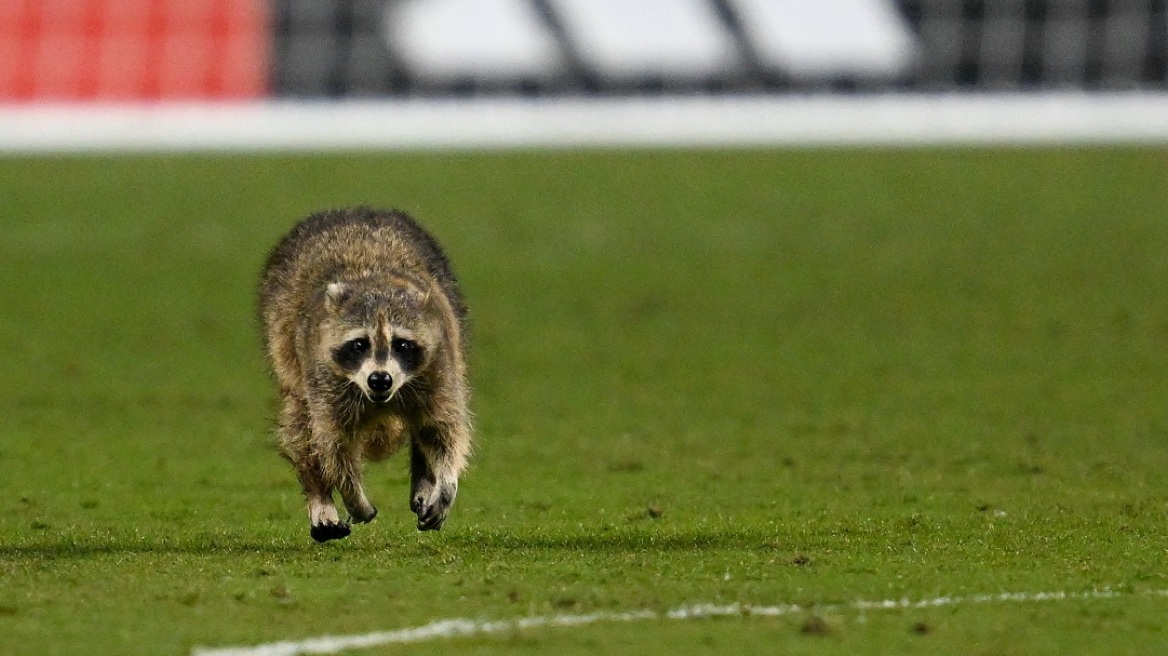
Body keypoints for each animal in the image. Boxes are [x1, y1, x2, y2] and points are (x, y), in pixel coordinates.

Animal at [259, 206, 469, 539]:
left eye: (401, 344)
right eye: (359, 344)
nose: (380, 379)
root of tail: (353, 212)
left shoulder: (439, 364)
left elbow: (444, 429)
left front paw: (445, 482)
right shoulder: (324, 377)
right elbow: (334, 443)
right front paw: (352, 495)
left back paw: (425, 478)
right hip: (286, 349)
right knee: (300, 425)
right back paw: (321, 500)